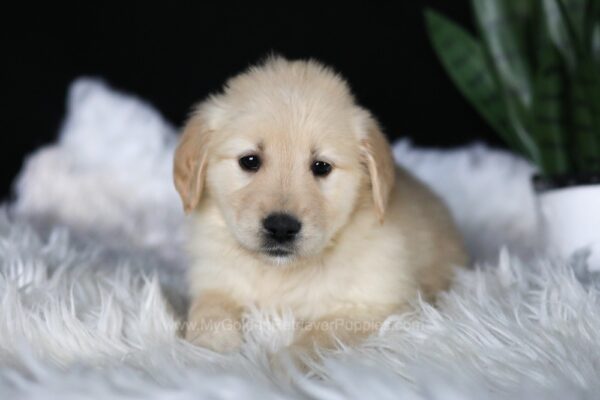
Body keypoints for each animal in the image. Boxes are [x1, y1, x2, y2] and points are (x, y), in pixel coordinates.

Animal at [173, 55, 468, 362]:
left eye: (321, 167)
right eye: (249, 161)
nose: (281, 227)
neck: (281, 273)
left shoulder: (367, 306)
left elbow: (318, 336)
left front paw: (280, 367)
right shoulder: (215, 279)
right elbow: (209, 310)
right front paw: (210, 351)